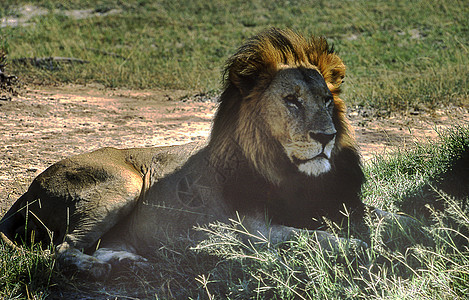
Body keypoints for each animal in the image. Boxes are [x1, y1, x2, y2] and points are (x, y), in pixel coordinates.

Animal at [0, 28, 376, 278]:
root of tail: (29, 188)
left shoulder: (341, 203)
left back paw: (129, 262)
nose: (326, 136)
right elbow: (314, 237)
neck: (296, 176)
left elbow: (382, 215)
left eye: (326, 100)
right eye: (292, 101)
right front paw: (359, 248)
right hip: (123, 184)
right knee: (62, 250)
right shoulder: (252, 230)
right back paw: (100, 271)